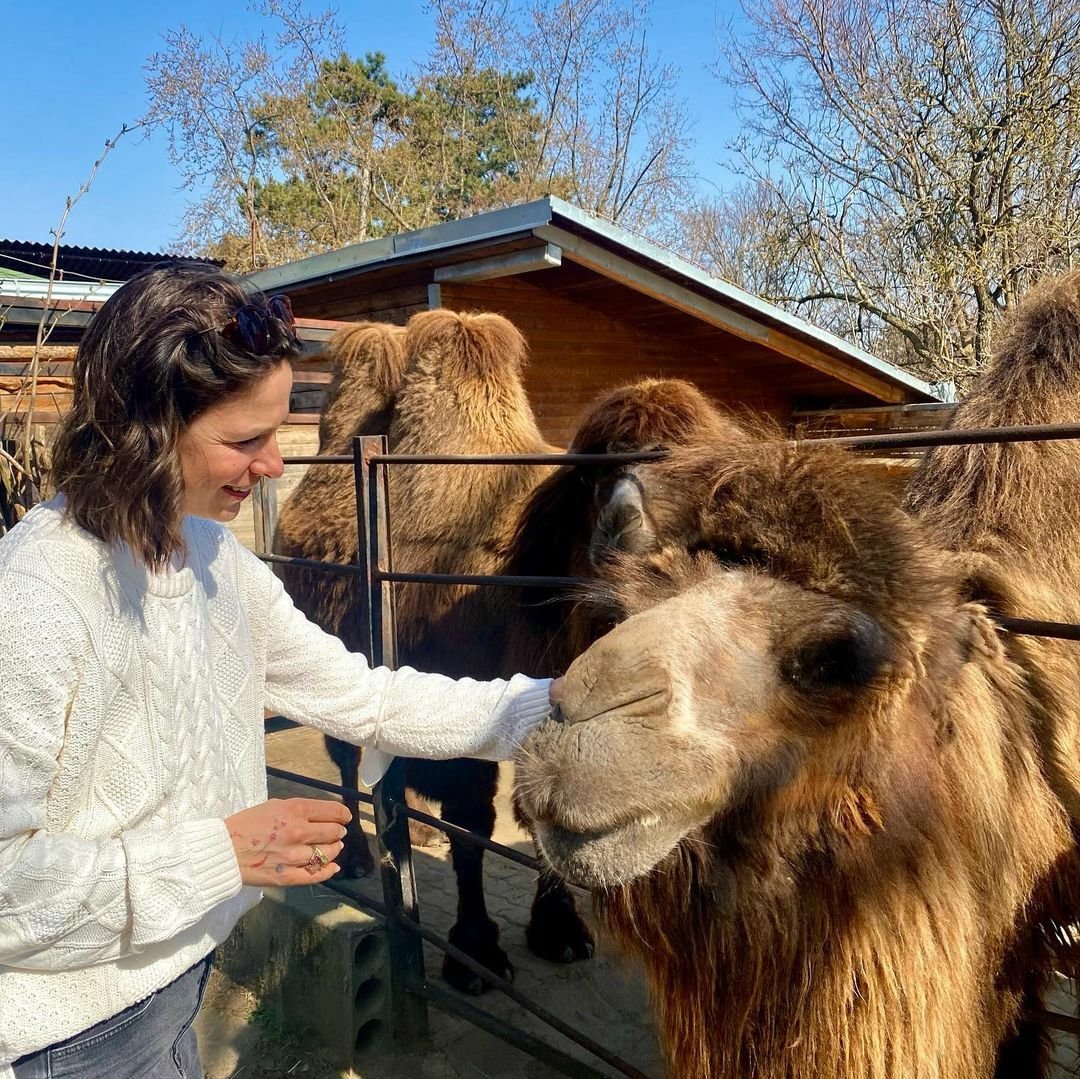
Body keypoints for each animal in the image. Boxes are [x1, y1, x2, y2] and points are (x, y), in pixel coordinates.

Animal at [274, 308, 738, 989]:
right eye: (592, 477)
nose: (635, 540)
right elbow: (473, 827)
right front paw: (474, 953)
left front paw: (559, 930)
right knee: (346, 758)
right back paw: (354, 855)